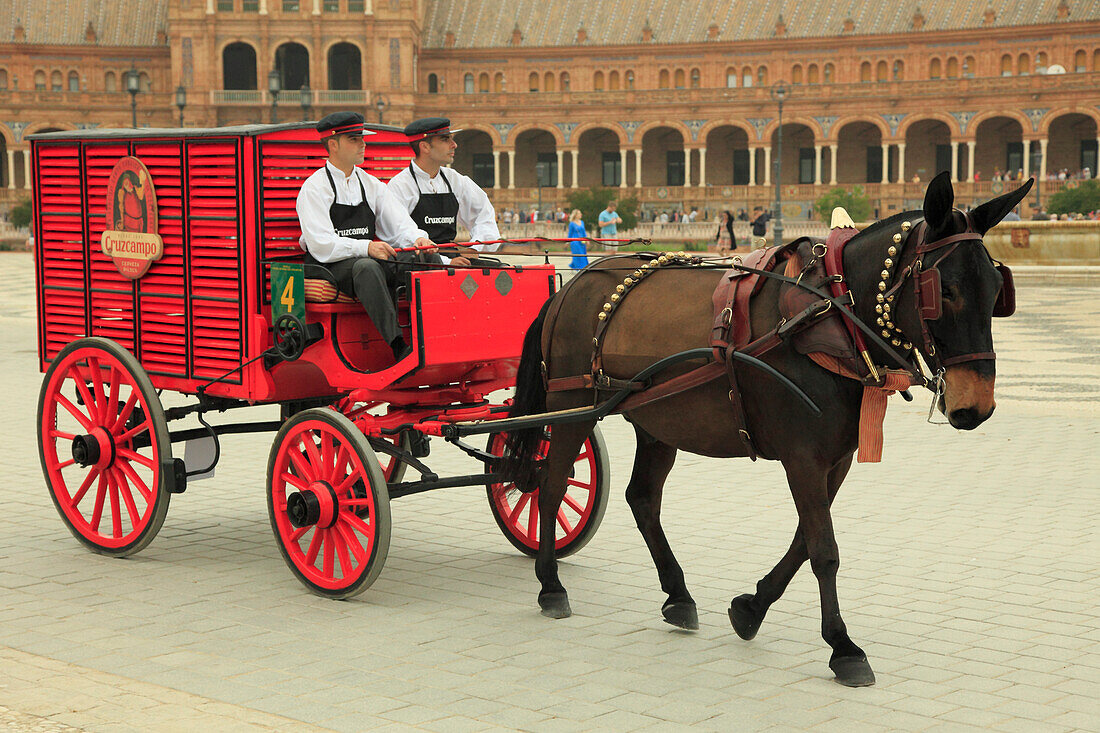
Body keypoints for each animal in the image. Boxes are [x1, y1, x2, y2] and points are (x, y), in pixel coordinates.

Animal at [499, 171, 1029, 686]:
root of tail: (572, 286)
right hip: (571, 404)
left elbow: (805, 540)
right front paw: (843, 647)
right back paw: (550, 584)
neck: (832, 316)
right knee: (550, 485)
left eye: (996, 290)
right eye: (943, 291)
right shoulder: (803, 456)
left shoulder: (835, 458)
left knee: (643, 498)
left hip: (658, 418)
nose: (976, 406)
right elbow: (824, 548)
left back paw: (678, 595)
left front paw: (750, 609)